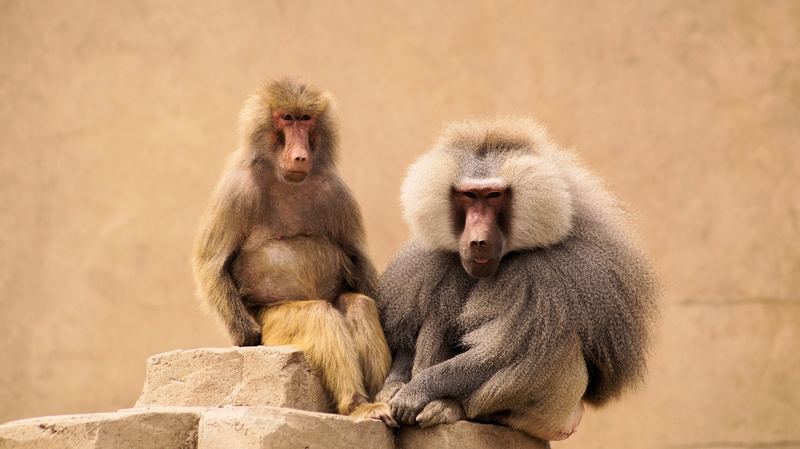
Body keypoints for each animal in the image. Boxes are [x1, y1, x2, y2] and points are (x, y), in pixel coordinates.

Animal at [191, 78, 394, 424]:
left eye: (306, 119)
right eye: (286, 118)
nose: (300, 155)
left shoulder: (337, 192)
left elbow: (357, 257)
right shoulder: (236, 190)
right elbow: (212, 264)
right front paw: (245, 340)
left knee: (357, 305)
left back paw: (382, 399)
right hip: (274, 321)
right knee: (319, 314)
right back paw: (356, 405)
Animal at [375, 117, 659, 441]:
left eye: (493, 196)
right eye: (469, 195)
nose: (478, 241)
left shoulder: (553, 275)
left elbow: (497, 353)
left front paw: (414, 392)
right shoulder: (431, 262)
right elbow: (412, 333)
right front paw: (391, 389)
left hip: (554, 414)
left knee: (549, 345)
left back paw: (452, 409)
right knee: (438, 314)